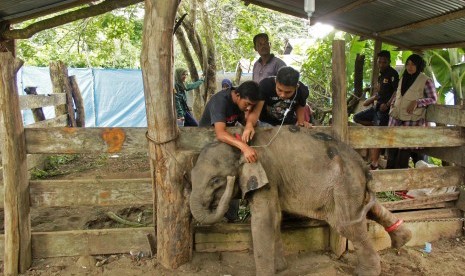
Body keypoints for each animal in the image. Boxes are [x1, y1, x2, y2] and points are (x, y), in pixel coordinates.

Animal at [188, 126, 410, 274]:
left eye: (216, 181)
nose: (230, 180)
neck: (243, 145)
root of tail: (363, 164)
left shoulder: (267, 175)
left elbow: (263, 220)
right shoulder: (273, 181)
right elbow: (275, 218)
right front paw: (280, 268)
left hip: (345, 184)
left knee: (347, 225)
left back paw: (367, 272)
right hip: (353, 185)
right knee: (367, 210)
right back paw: (403, 239)